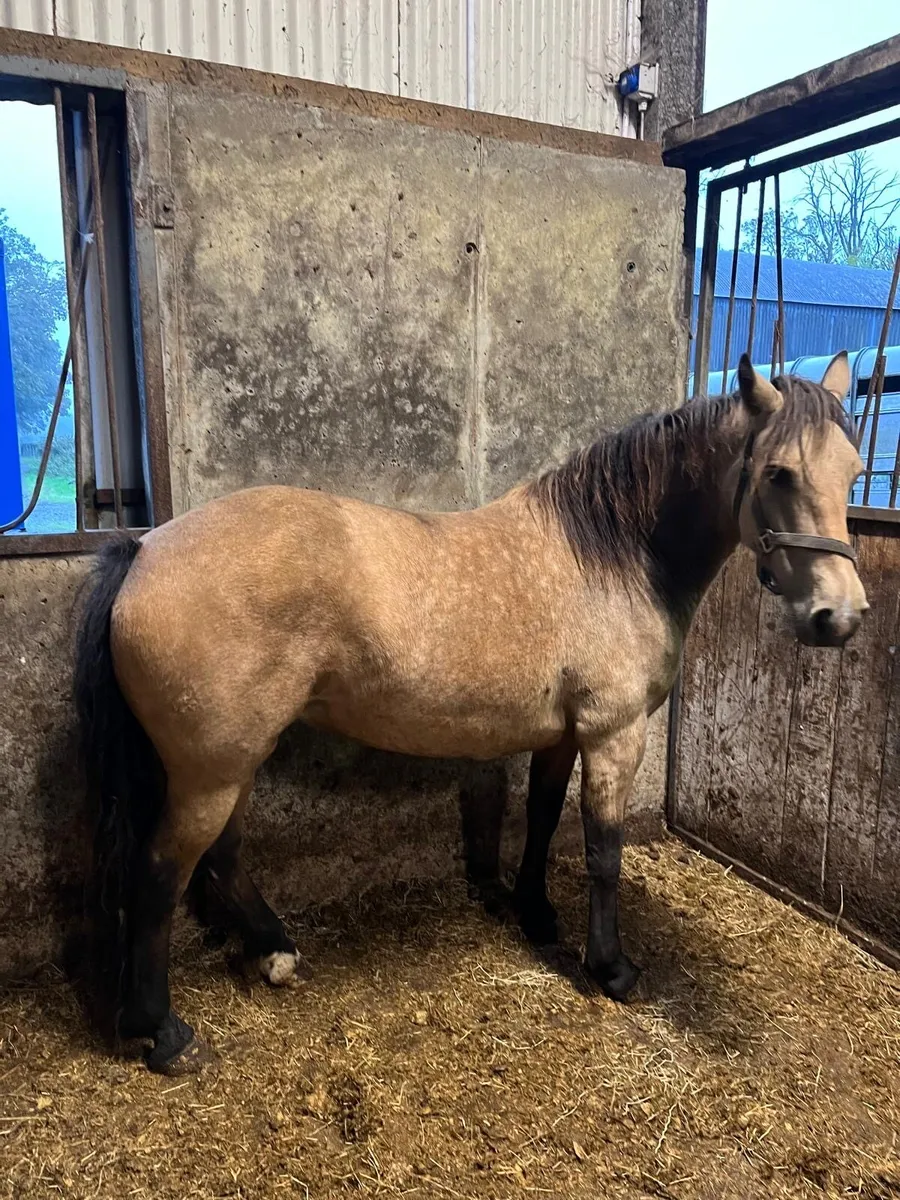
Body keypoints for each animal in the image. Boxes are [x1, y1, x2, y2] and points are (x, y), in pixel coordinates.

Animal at [74, 352, 866, 1074]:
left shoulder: (562, 735)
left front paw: (537, 916)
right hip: (211, 770)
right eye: (778, 474)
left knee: (222, 857)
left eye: (855, 472)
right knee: (159, 873)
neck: (615, 555)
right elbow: (603, 852)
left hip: (233, 758)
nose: (840, 616)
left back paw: (274, 954)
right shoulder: (613, 735)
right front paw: (610, 969)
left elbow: (540, 821)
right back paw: (162, 1032)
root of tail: (145, 548)